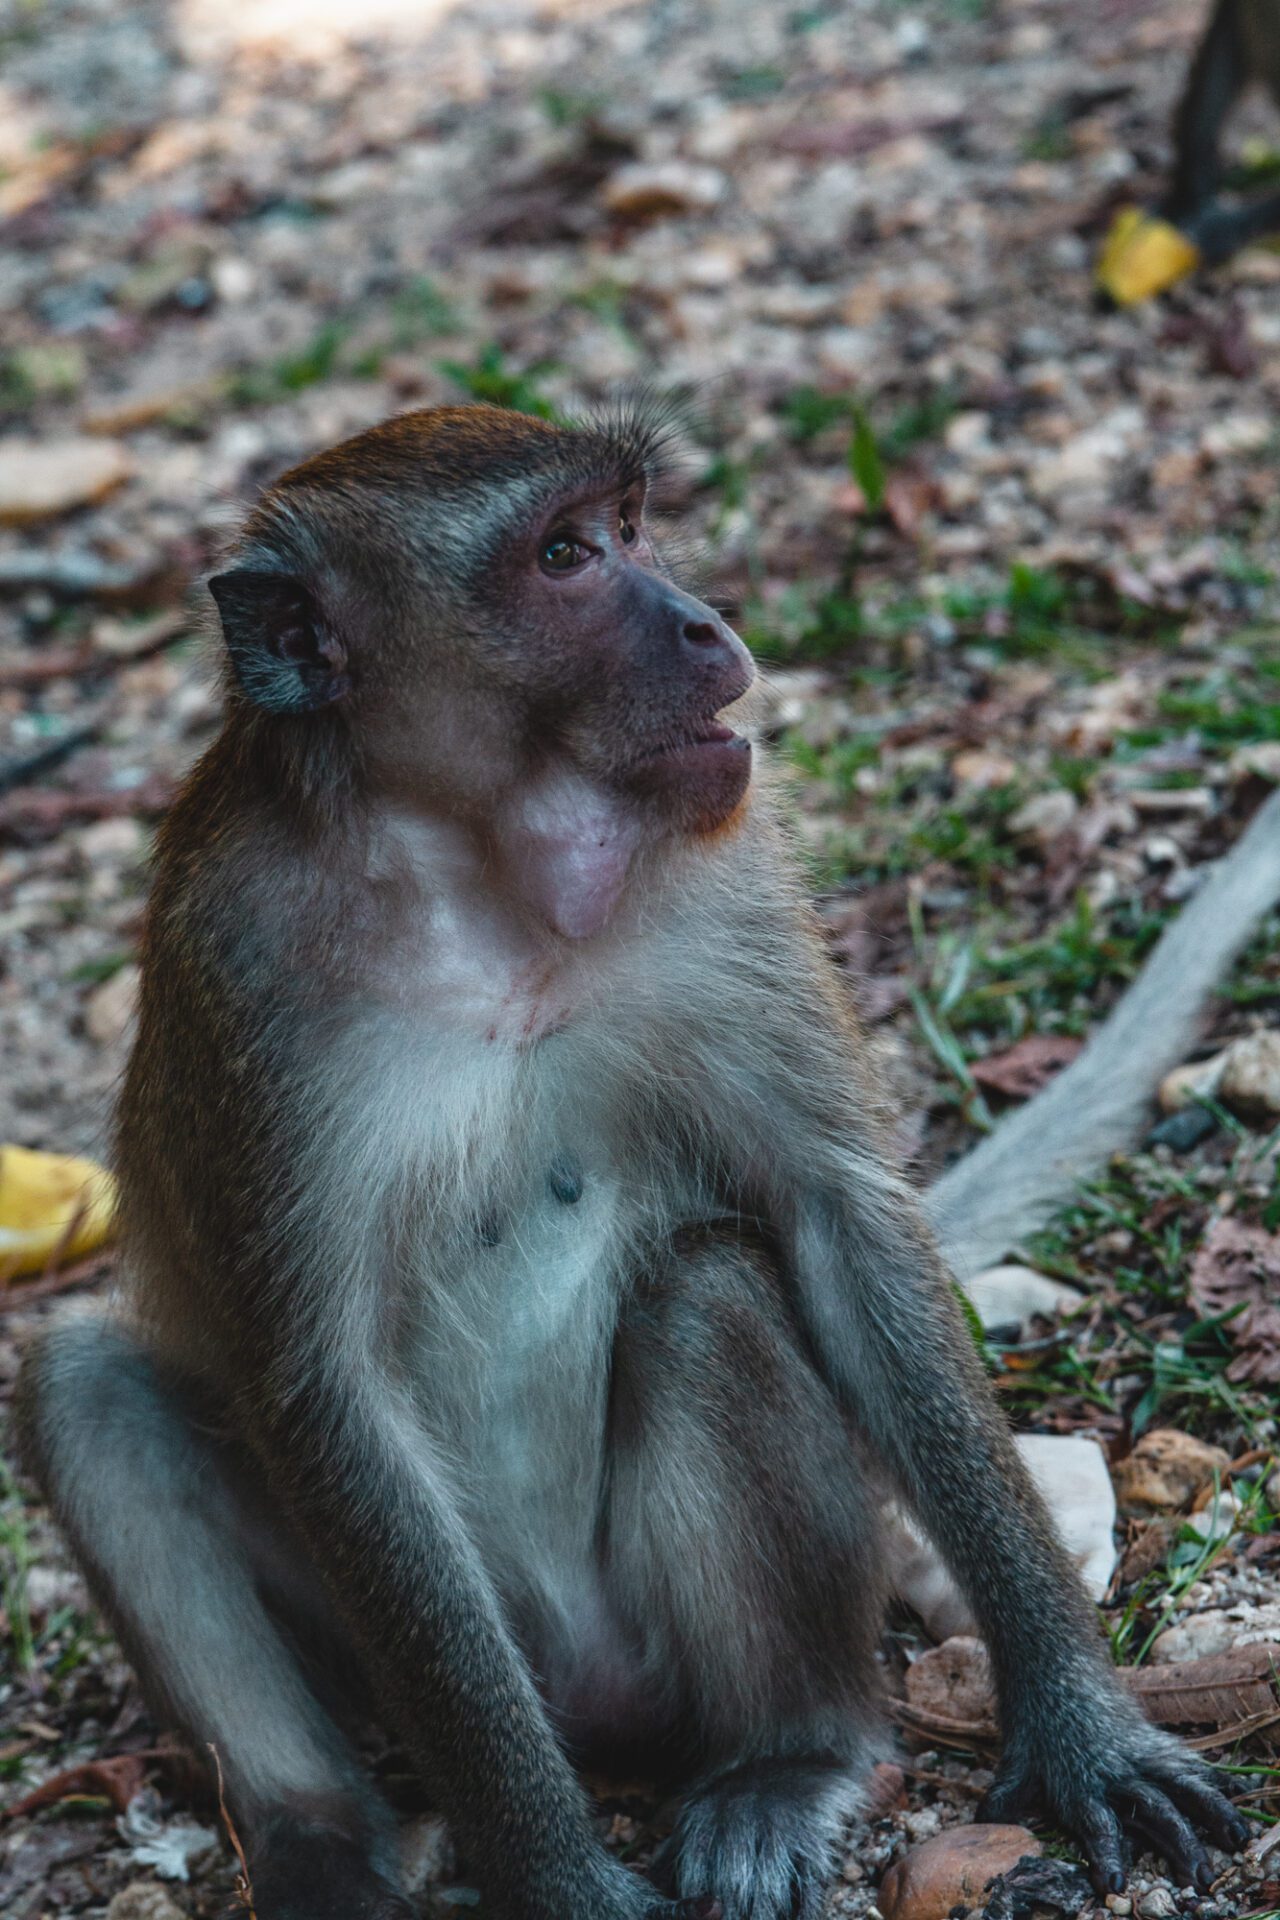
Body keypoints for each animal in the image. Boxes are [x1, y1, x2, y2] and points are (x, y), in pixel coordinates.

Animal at [14, 405, 1274, 1920]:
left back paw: (789, 1758)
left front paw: (1079, 1720)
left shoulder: (722, 885)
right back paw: (318, 1839)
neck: (469, 879)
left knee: (709, 1294)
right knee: (86, 1391)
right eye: (563, 556)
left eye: (628, 526)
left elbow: (830, 1219)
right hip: (389, 1670)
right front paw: (556, 1877)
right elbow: (322, 1391)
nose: (703, 622)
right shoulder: (236, 974)